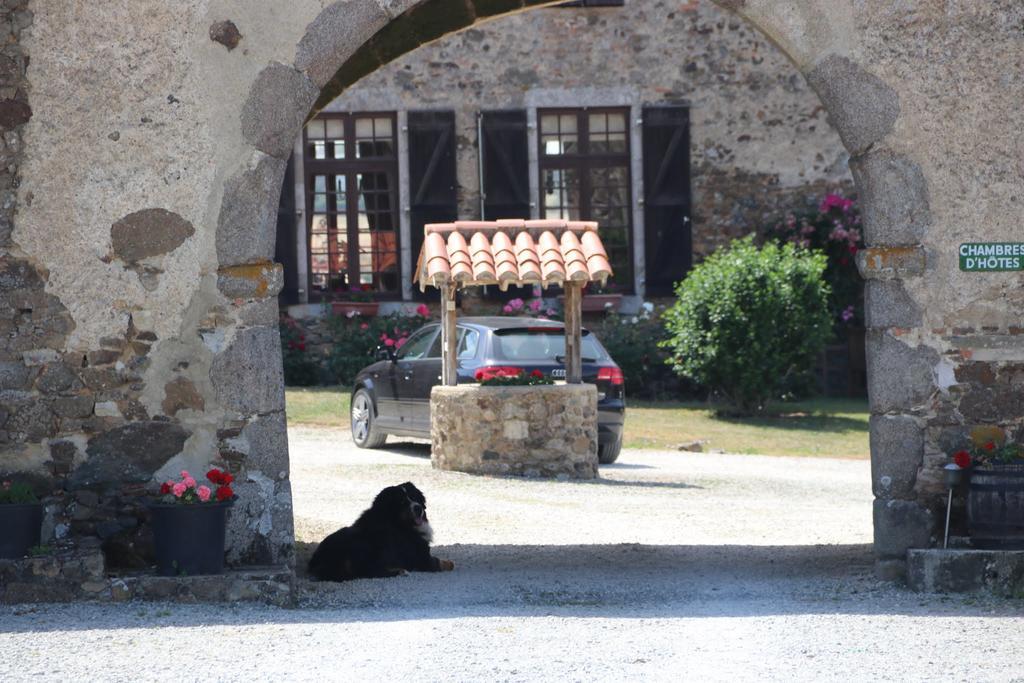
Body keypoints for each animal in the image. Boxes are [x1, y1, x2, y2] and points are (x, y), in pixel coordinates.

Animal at [305, 483, 454, 581]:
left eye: (415, 497)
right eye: (402, 502)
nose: (418, 508)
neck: (397, 523)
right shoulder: (422, 557)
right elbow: (440, 562)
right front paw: (449, 563)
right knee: (369, 571)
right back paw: (400, 571)